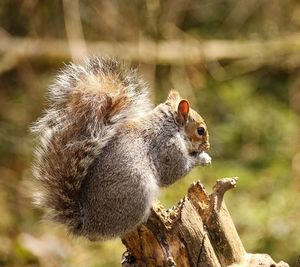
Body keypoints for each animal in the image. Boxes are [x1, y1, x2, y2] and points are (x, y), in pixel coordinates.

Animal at [31, 57, 211, 242]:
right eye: (201, 130)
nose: (208, 146)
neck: (170, 125)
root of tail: (88, 226)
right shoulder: (167, 147)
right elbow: (174, 172)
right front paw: (203, 158)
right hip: (138, 189)